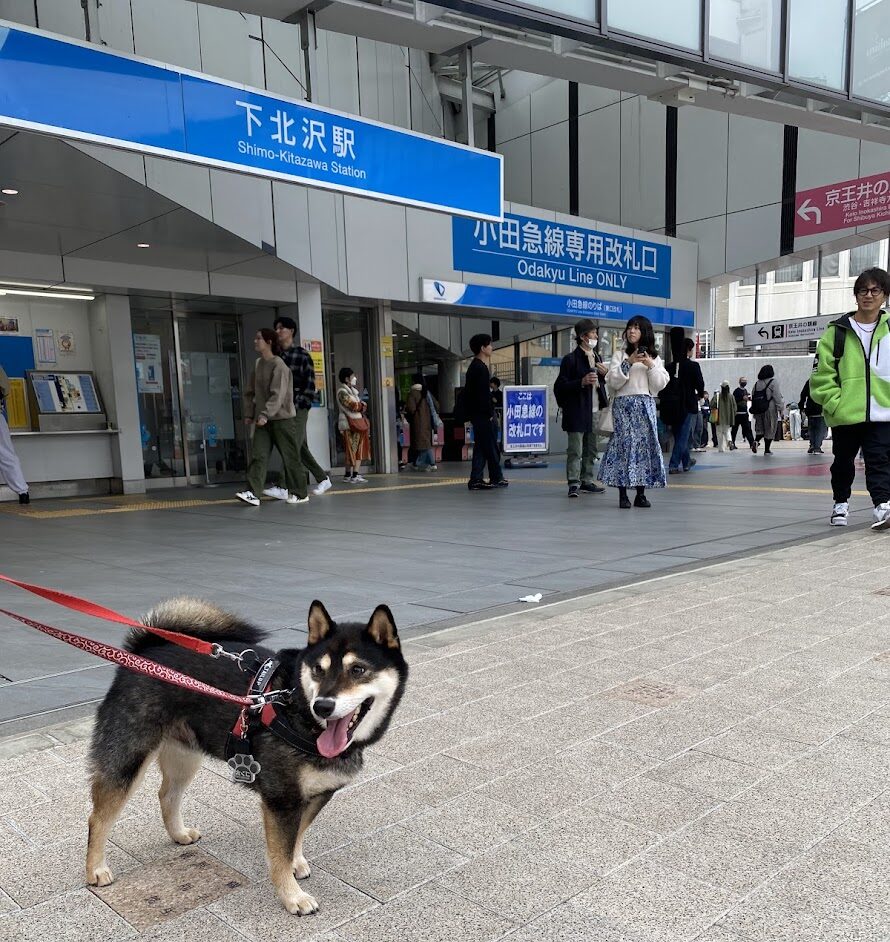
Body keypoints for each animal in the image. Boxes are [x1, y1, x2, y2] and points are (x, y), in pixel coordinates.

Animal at [86, 596, 406, 916]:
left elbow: (297, 835)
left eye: (358, 670)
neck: (297, 708)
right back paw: (95, 870)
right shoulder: (281, 799)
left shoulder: (315, 795)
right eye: (318, 669)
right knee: (98, 818)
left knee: (167, 794)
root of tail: (145, 650)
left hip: (185, 756)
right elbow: (280, 852)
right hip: (129, 757)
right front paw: (293, 896)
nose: (323, 706)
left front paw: (296, 864)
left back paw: (178, 834)